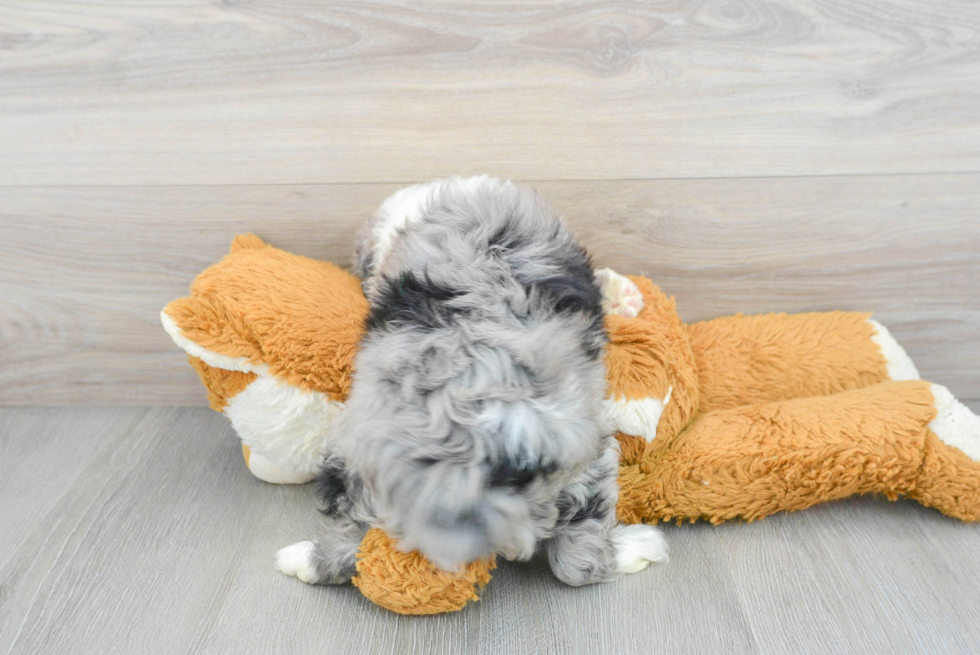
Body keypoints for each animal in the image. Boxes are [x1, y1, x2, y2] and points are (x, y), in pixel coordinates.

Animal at [276, 176, 668, 588]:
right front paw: (621, 295)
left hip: (355, 462)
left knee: (348, 537)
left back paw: (301, 559)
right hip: (584, 458)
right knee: (579, 556)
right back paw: (639, 547)